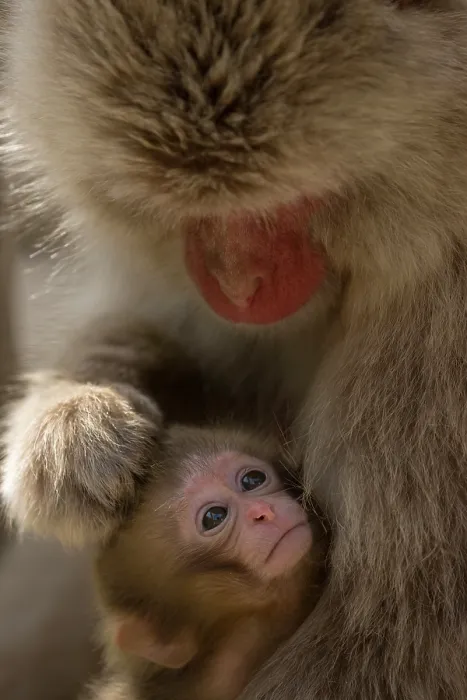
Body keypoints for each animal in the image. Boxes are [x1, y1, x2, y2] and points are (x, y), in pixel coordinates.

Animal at [1, 1, 467, 699]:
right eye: (188, 209)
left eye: (289, 204)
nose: (237, 288)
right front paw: (76, 427)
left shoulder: (439, 343)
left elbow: (397, 628)